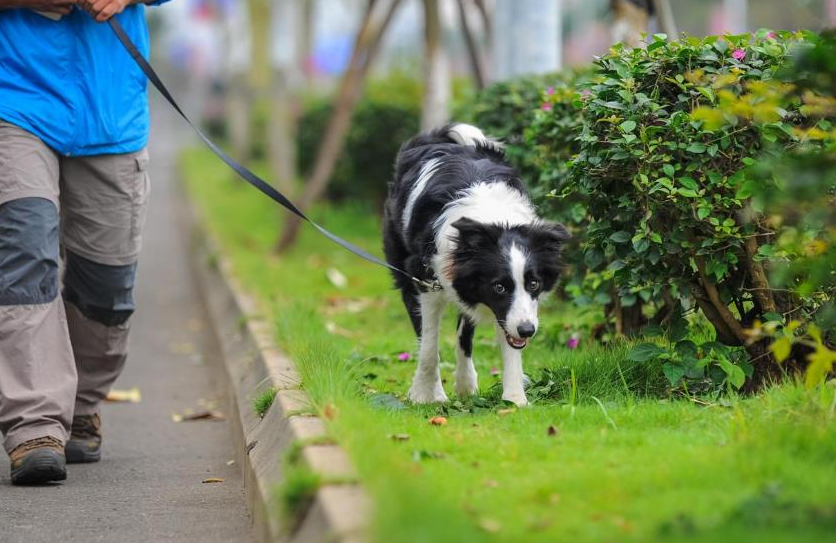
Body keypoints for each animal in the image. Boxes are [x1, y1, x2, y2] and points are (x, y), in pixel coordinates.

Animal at [384, 122, 568, 404]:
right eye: (499, 287)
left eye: (534, 284)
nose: (528, 330)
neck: (492, 218)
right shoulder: (426, 280)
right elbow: (429, 345)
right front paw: (425, 395)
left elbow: (505, 340)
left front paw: (514, 399)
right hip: (405, 269)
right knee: (425, 335)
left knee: (464, 334)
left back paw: (466, 384)